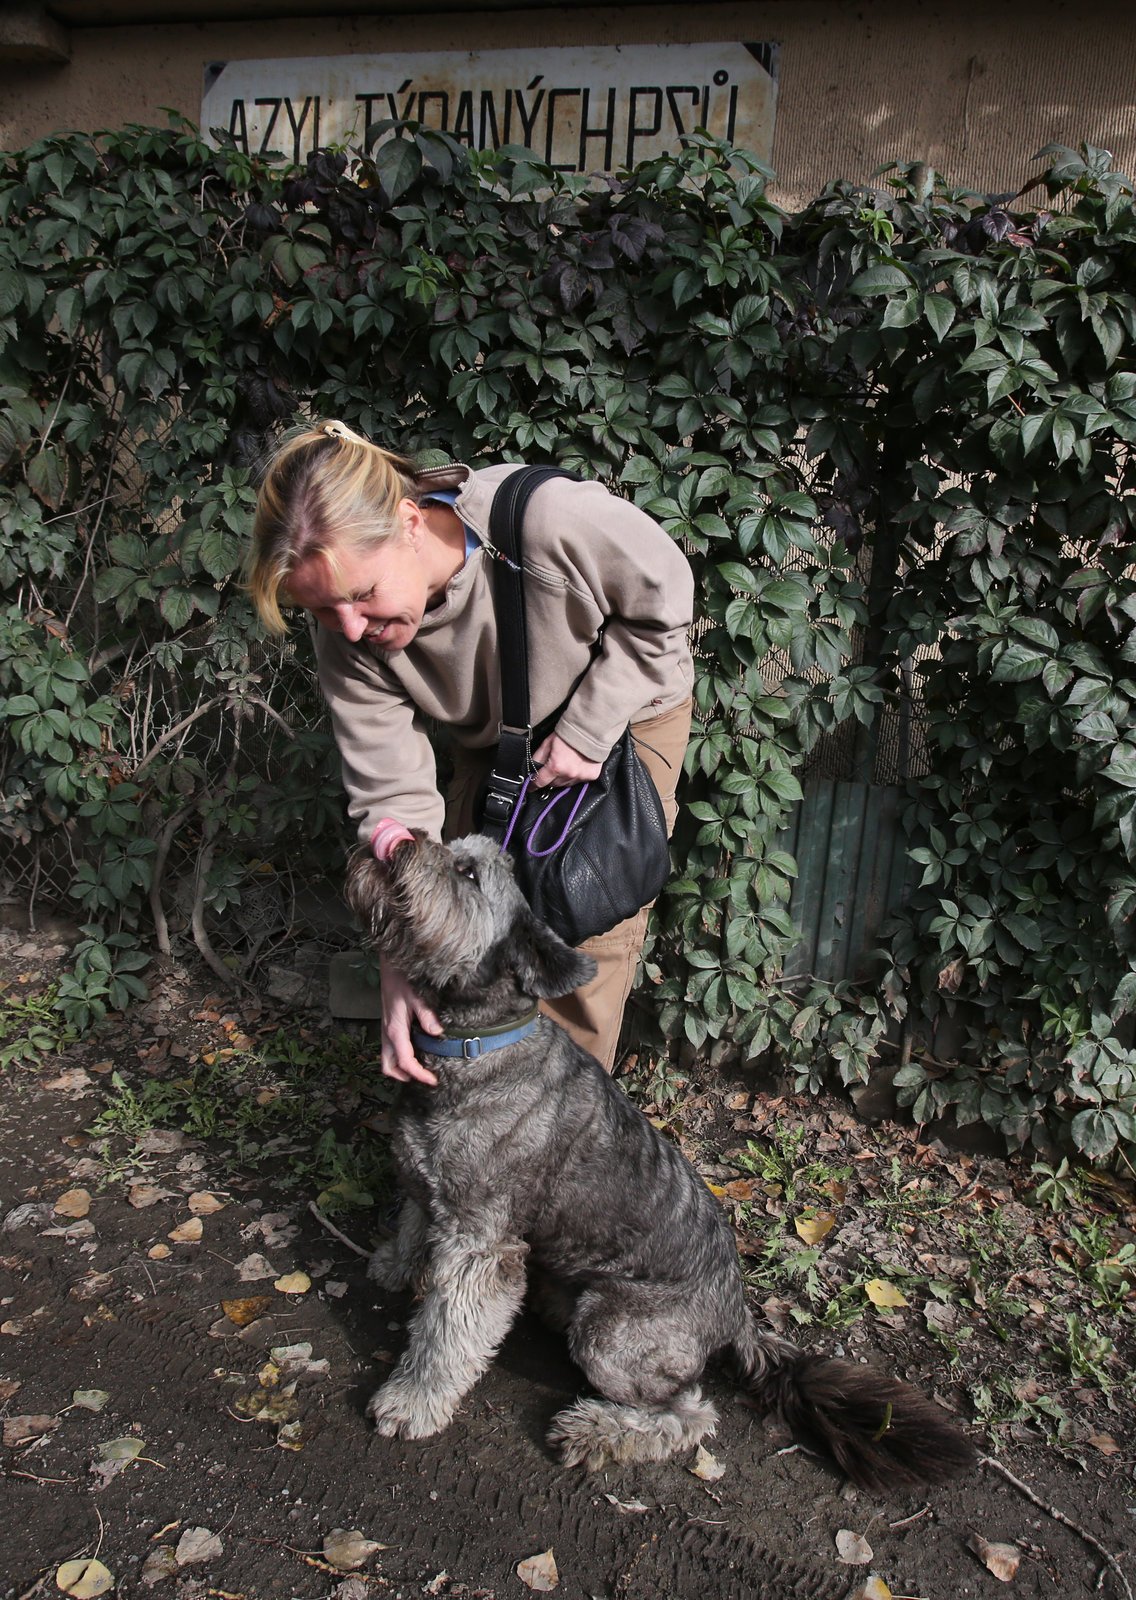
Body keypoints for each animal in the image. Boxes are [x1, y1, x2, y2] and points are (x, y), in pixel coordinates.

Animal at [347, 832, 979, 1491]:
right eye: (452, 845)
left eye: (467, 872)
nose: (395, 840)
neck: (474, 1047)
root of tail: (737, 1314)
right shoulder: (429, 1193)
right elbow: (413, 1226)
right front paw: (396, 1265)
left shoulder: (480, 1243)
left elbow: (445, 1335)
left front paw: (412, 1400)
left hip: (610, 1329)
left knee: (690, 1414)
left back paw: (597, 1431)